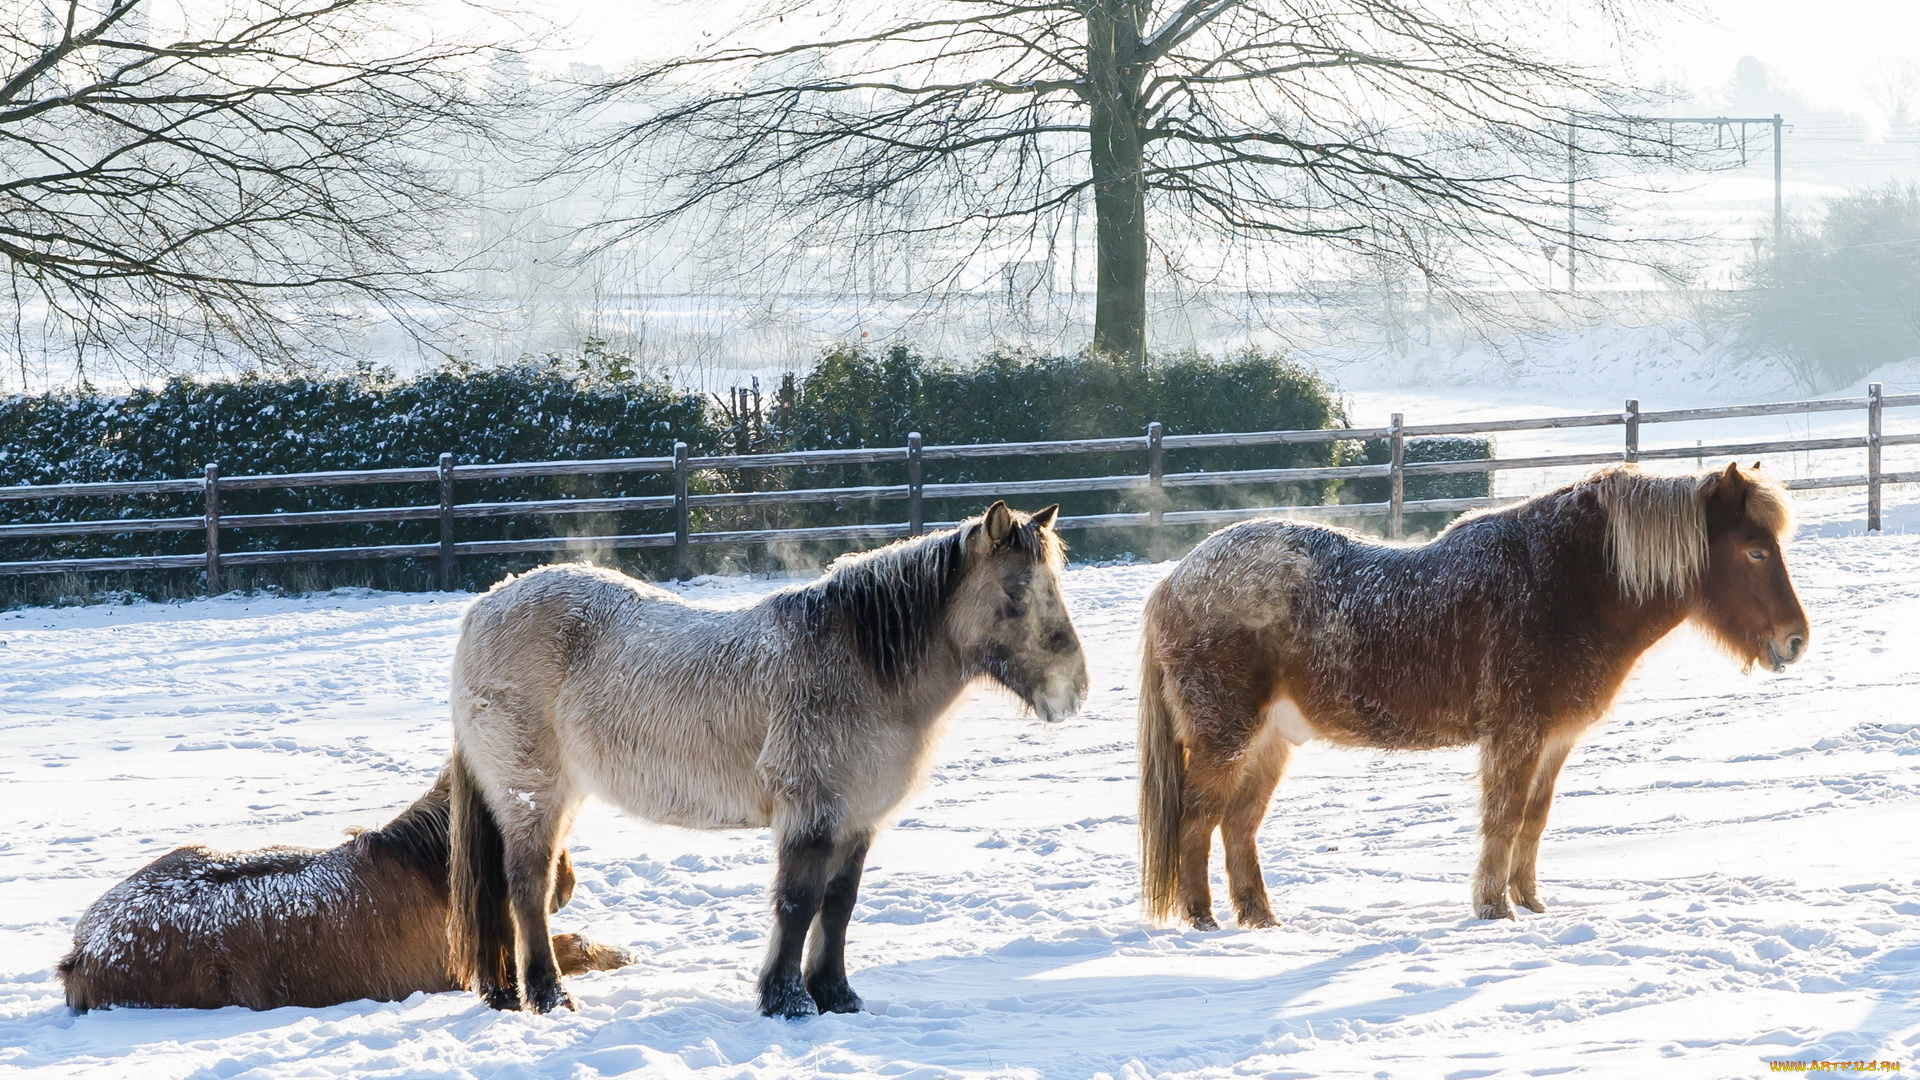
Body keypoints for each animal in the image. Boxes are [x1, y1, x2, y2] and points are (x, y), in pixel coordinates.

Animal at [439, 499, 1090, 1014]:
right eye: (1016, 592)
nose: (1074, 690)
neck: (860, 667)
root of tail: (483, 608)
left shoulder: (857, 821)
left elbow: (838, 906)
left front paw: (836, 995)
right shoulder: (811, 814)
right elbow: (797, 904)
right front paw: (787, 1001)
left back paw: (510, 991)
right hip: (534, 797)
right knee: (528, 889)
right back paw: (548, 995)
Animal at [1128, 461, 1804, 926]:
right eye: (1753, 550)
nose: (1795, 640)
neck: (1566, 584)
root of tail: (1176, 579)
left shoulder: (1553, 741)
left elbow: (1533, 819)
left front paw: (1529, 904)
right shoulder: (1515, 735)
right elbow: (1502, 818)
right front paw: (1493, 909)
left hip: (1270, 740)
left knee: (1238, 825)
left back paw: (1262, 920)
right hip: (1224, 737)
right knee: (1197, 819)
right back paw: (1202, 919)